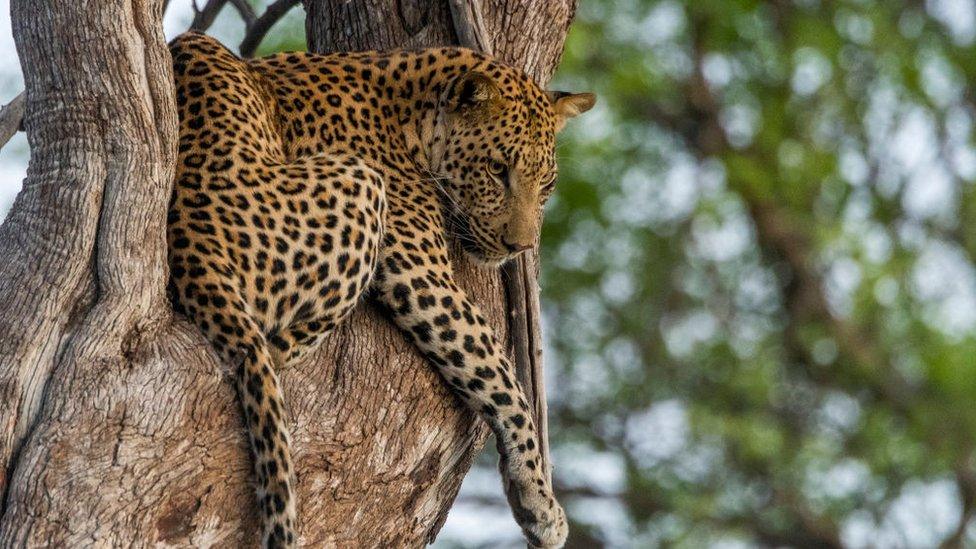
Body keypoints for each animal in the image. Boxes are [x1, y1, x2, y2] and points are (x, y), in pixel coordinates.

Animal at [168, 32, 596, 544]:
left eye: (546, 184)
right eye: (497, 169)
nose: (521, 246)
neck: (410, 107)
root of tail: (193, 245)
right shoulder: (421, 270)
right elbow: (505, 381)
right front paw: (541, 502)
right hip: (362, 183)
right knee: (276, 344)